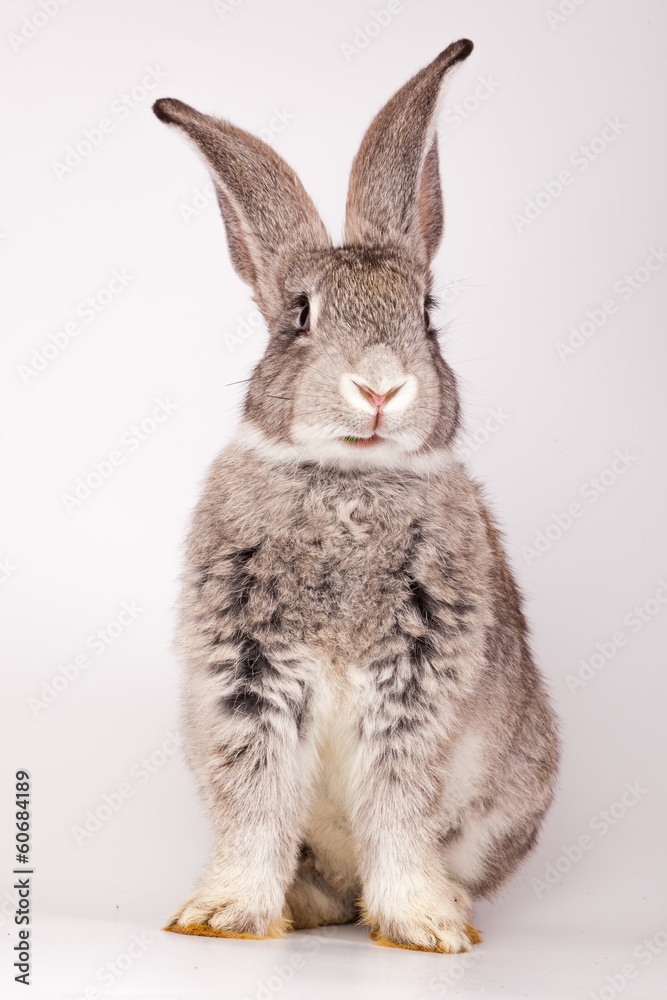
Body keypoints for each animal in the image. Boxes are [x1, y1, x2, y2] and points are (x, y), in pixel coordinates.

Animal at [152, 38, 559, 954]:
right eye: (298, 317)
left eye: (427, 315)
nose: (380, 387)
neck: (347, 481)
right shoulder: (248, 676)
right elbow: (258, 801)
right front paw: (223, 918)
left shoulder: (416, 686)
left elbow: (399, 809)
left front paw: (424, 928)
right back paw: (305, 909)